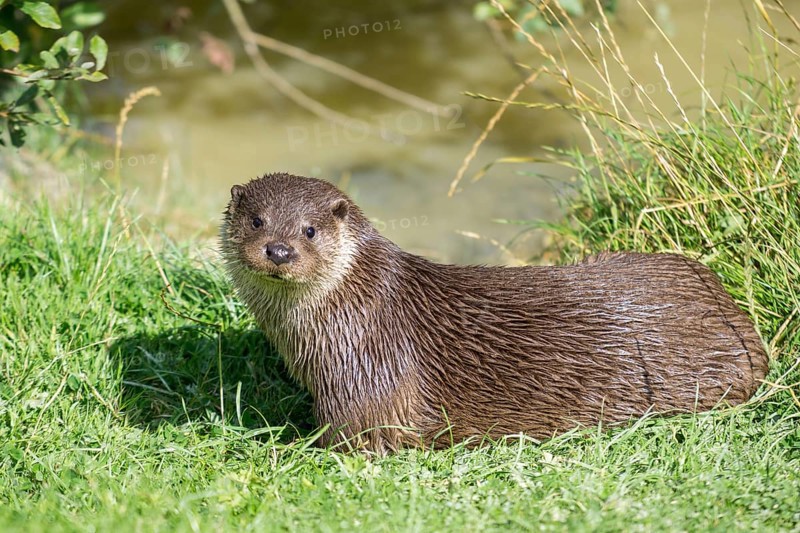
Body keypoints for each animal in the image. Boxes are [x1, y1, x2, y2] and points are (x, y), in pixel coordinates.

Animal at [220, 172, 768, 453]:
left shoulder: (371, 379)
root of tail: (736, 317)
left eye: (310, 230)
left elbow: (357, 440)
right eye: (257, 220)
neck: (357, 307)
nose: (279, 250)